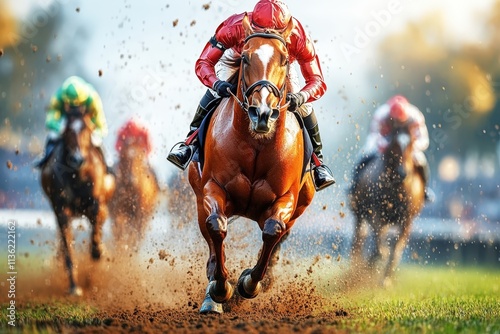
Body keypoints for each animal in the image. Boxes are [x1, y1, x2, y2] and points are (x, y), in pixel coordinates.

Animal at [40, 107, 115, 294]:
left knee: (100, 223)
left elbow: (95, 230)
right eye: (67, 130)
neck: (77, 175)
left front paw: (98, 251)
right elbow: (68, 246)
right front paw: (74, 286)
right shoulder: (60, 208)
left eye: (87, 129)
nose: (77, 159)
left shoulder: (96, 203)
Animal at [109, 118, 160, 249]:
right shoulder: (118, 212)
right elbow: (119, 232)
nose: (132, 178)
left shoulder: (140, 214)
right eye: (125, 159)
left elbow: (135, 234)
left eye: (140, 158)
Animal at [189, 15, 314, 314]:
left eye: (284, 59)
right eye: (245, 57)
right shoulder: (212, 187)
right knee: (212, 234)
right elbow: (216, 226)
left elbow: (273, 231)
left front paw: (249, 283)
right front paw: (220, 289)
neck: (257, 144)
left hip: (299, 207)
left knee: (279, 237)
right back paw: (213, 295)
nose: (262, 113)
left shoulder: (286, 199)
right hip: (199, 196)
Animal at [348, 116, 426, 286]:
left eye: (411, 142)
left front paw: (386, 279)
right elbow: (379, 246)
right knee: (358, 240)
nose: (403, 172)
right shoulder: (376, 212)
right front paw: (371, 263)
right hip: (359, 213)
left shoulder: (407, 220)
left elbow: (395, 249)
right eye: (394, 143)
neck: (397, 188)